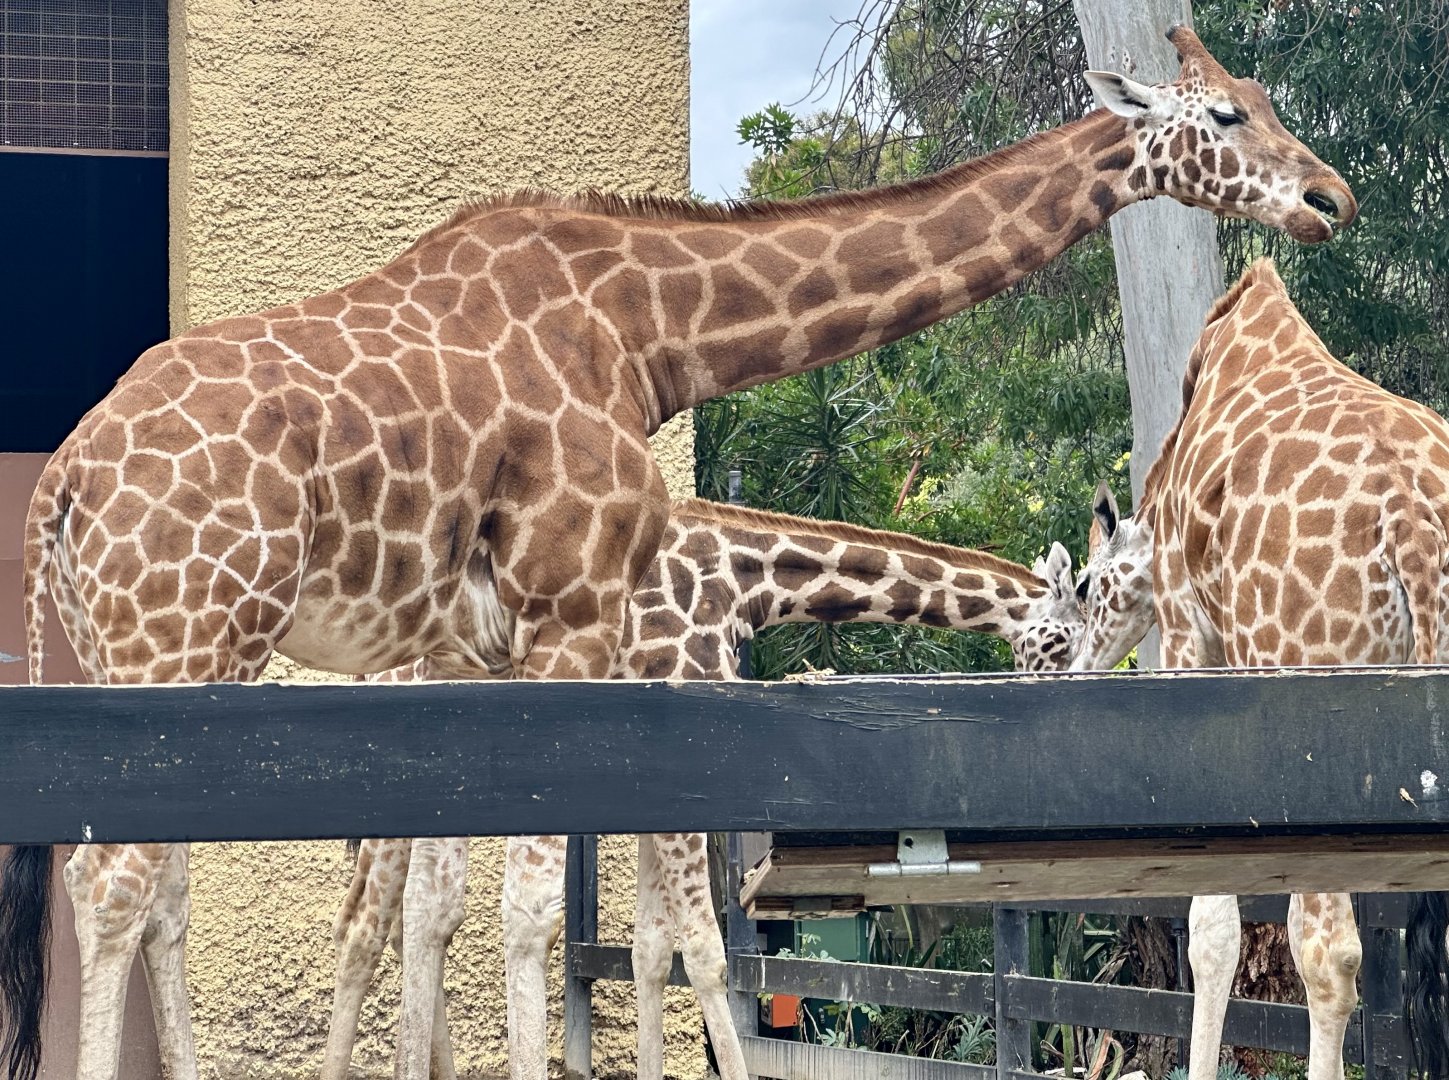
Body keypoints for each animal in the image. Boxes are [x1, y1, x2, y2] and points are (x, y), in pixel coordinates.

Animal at [325, 498, 1084, 1080]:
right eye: (1068, 638)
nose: (1083, 689)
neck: (746, 579)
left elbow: (651, 950)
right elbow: (707, 951)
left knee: (418, 909)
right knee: (371, 918)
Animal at [1069, 258, 1449, 1080]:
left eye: (1083, 586)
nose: (1077, 661)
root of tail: (1414, 521)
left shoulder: (1189, 635)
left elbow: (1211, 926)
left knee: (1329, 953)